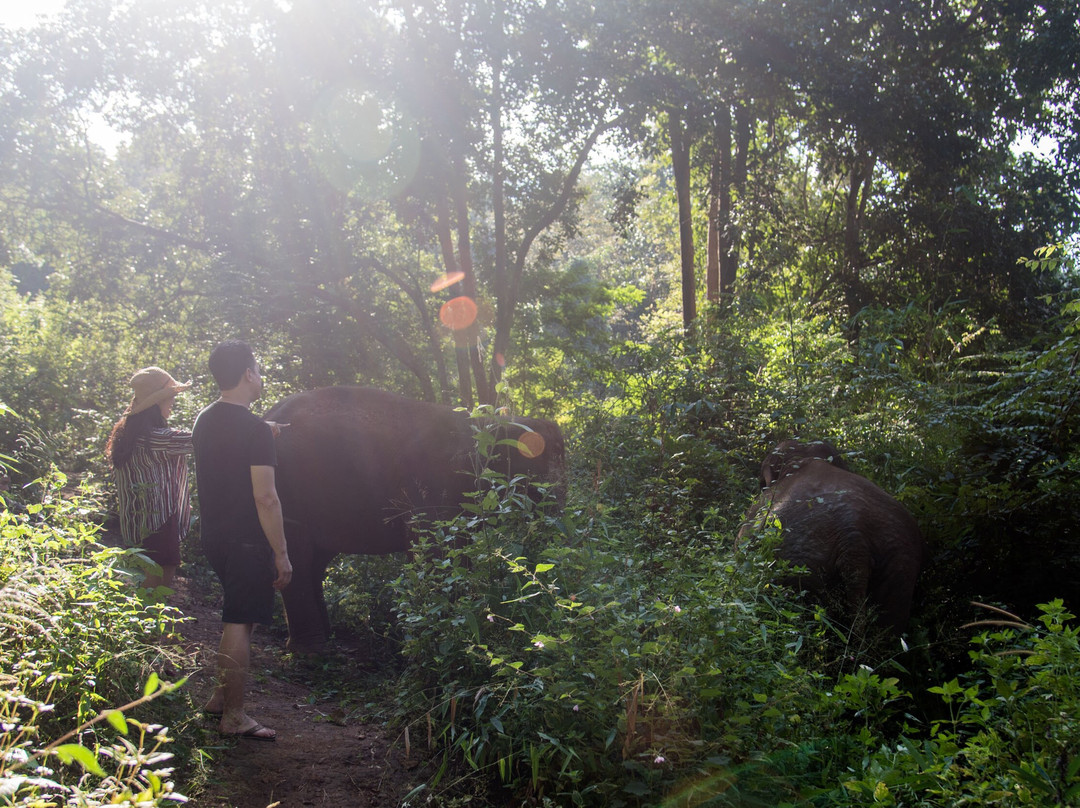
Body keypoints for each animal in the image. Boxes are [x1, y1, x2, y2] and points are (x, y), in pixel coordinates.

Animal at [261, 385, 566, 652]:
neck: (488, 423)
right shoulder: (434, 478)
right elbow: (431, 546)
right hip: (287, 486)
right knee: (297, 555)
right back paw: (313, 649)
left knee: (316, 560)